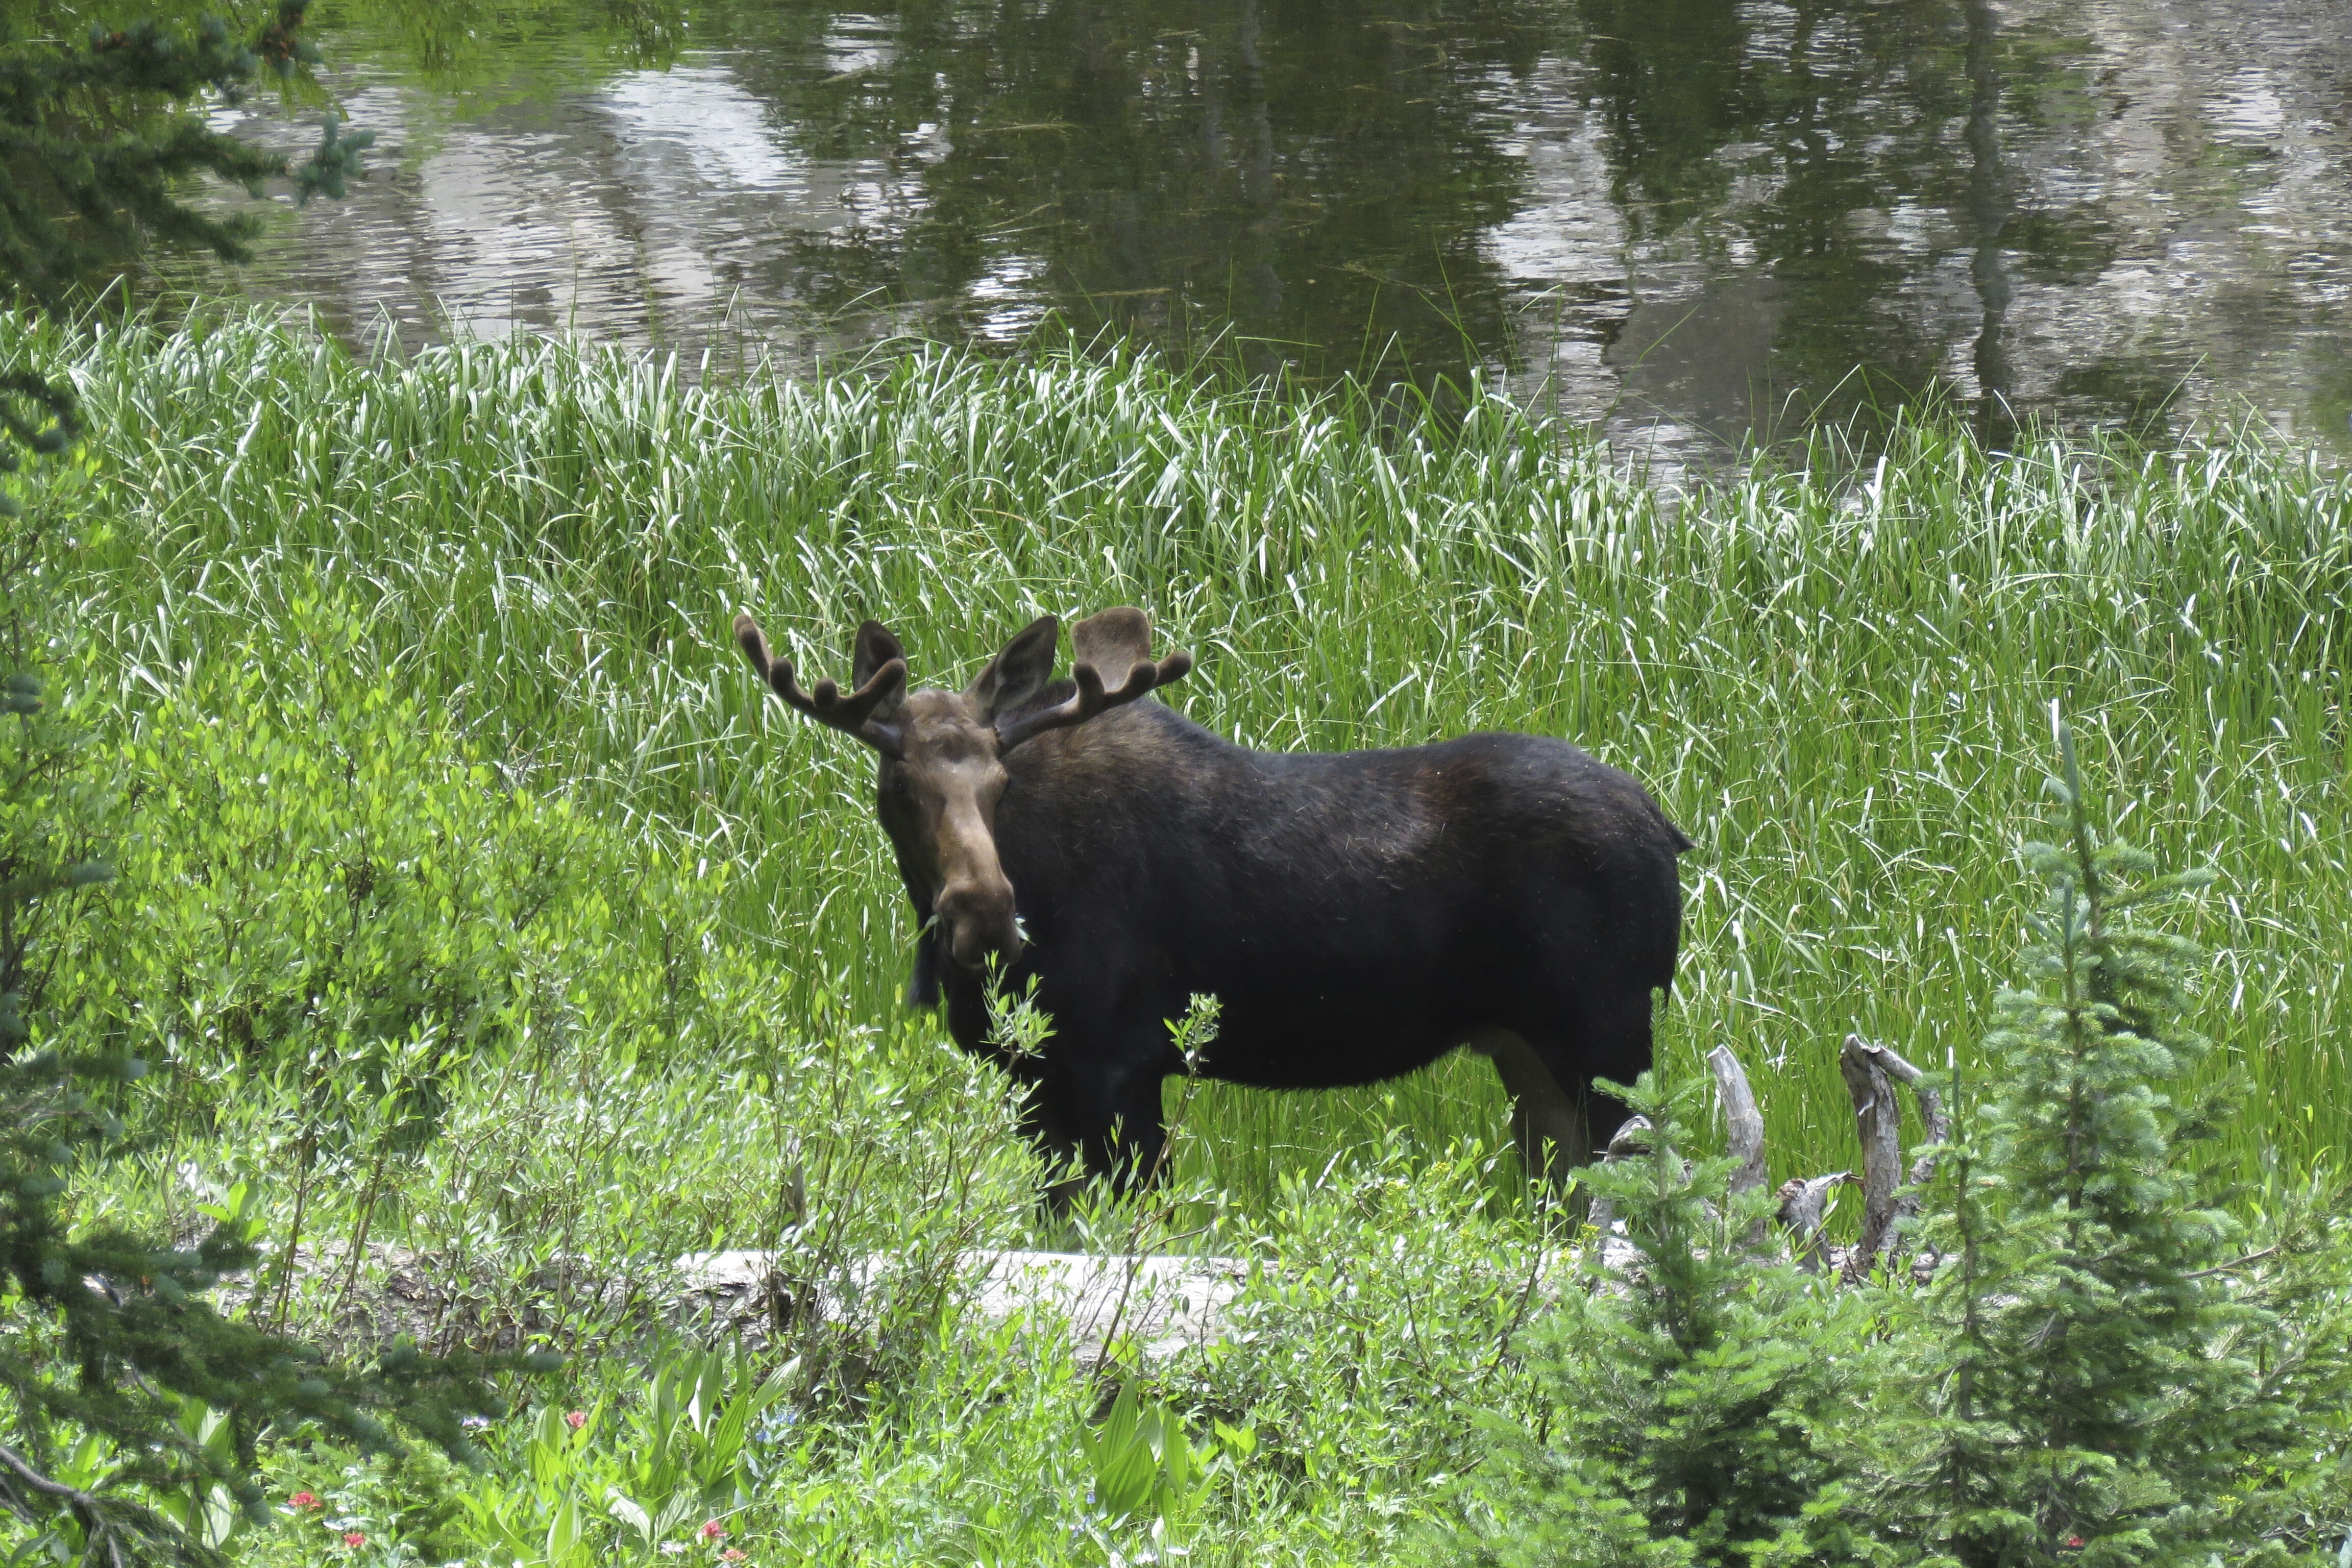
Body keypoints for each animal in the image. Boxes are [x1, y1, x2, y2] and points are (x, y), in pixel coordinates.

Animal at [733, 606, 1693, 1194]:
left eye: (1000, 781)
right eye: (899, 784)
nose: (984, 914)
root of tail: (1668, 828)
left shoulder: (1121, 1062)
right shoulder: (1036, 1080)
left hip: (1611, 1039)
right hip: (1528, 1057)